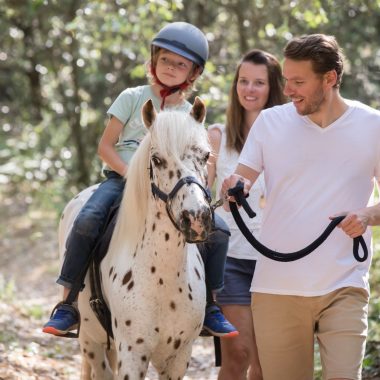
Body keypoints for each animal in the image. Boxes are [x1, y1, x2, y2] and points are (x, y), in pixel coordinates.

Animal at [59, 98, 214, 380]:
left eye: (206, 156)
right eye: (157, 159)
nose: (196, 218)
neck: (164, 278)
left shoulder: (179, 357)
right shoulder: (133, 354)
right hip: (90, 341)